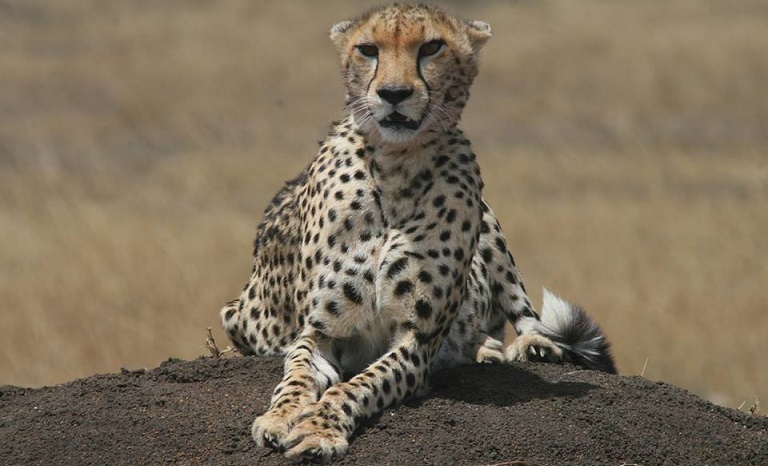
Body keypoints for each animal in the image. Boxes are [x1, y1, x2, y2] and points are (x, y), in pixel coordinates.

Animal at [219, 4, 616, 463]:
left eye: (431, 47)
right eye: (367, 49)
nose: (394, 93)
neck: (394, 166)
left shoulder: (417, 338)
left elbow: (356, 386)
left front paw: (319, 428)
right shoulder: (320, 331)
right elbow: (296, 373)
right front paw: (280, 416)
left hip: (491, 226)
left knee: (523, 313)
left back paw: (521, 345)